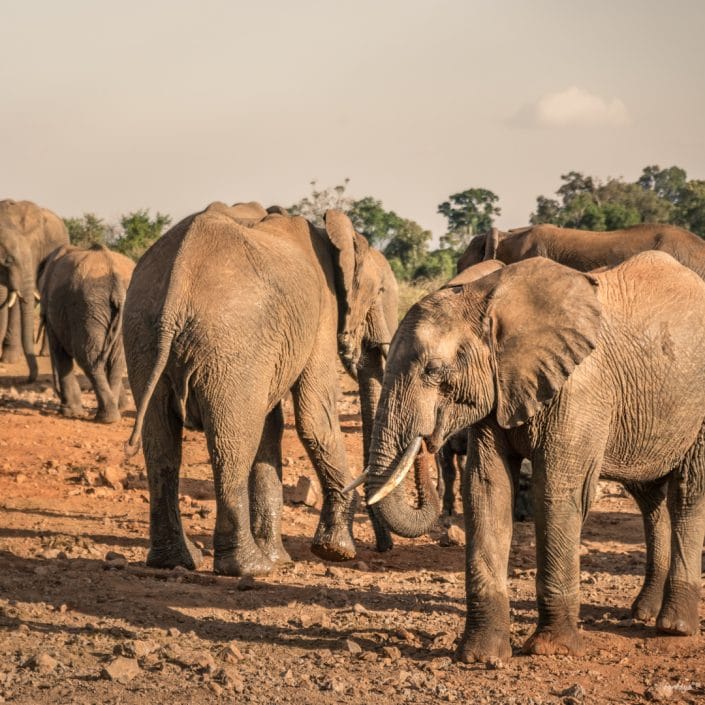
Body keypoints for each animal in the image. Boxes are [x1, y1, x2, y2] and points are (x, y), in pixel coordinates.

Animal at [39, 245, 135, 424]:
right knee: (117, 360)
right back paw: (112, 415)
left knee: (88, 358)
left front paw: (69, 413)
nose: (57, 393)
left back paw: (105, 418)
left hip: (86, 308)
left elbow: (59, 351)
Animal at [121, 201, 396, 576]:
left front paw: (282, 559)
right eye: (381, 292)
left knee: (161, 444)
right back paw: (249, 568)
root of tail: (178, 280)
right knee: (232, 444)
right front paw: (336, 552)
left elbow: (271, 426)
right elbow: (314, 416)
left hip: (143, 334)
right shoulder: (322, 313)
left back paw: (176, 561)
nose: (385, 547)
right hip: (230, 341)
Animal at [360, 253, 704, 660]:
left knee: (687, 493)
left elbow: (556, 493)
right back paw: (643, 613)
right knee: (649, 497)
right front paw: (481, 657)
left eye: (435, 371)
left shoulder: (579, 391)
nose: (429, 438)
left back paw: (674, 627)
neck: (487, 297)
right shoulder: (499, 389)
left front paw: (551, 650)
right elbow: (487, 490)